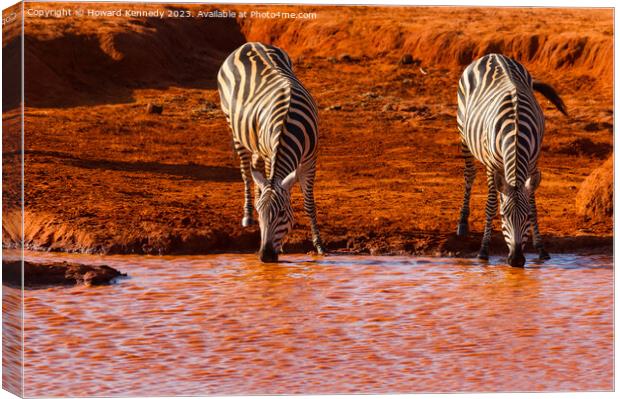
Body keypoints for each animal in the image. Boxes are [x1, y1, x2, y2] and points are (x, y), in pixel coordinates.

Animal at [217, 42, 324, 264]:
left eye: (283, 213)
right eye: (261, 214)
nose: (265, 256)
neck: (287, 125)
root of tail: (249, 43)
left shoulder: (310, 159)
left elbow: (309, 204)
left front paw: (318, 245)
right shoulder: (270, 155)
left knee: (255, 171)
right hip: (234, 127)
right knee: (246, 173)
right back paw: (247, 214)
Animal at [456, 52, 568, 266]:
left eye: (526, 217)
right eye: (503, 216)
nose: (516, 260)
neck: (515, 131)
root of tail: (493, 55)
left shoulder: (532, 163)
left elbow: (532, 203)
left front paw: (541, 248)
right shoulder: (491, 165)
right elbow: (491, 205)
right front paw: (483, 250)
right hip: (463, 132)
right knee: (469, 174)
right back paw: (462, 223)